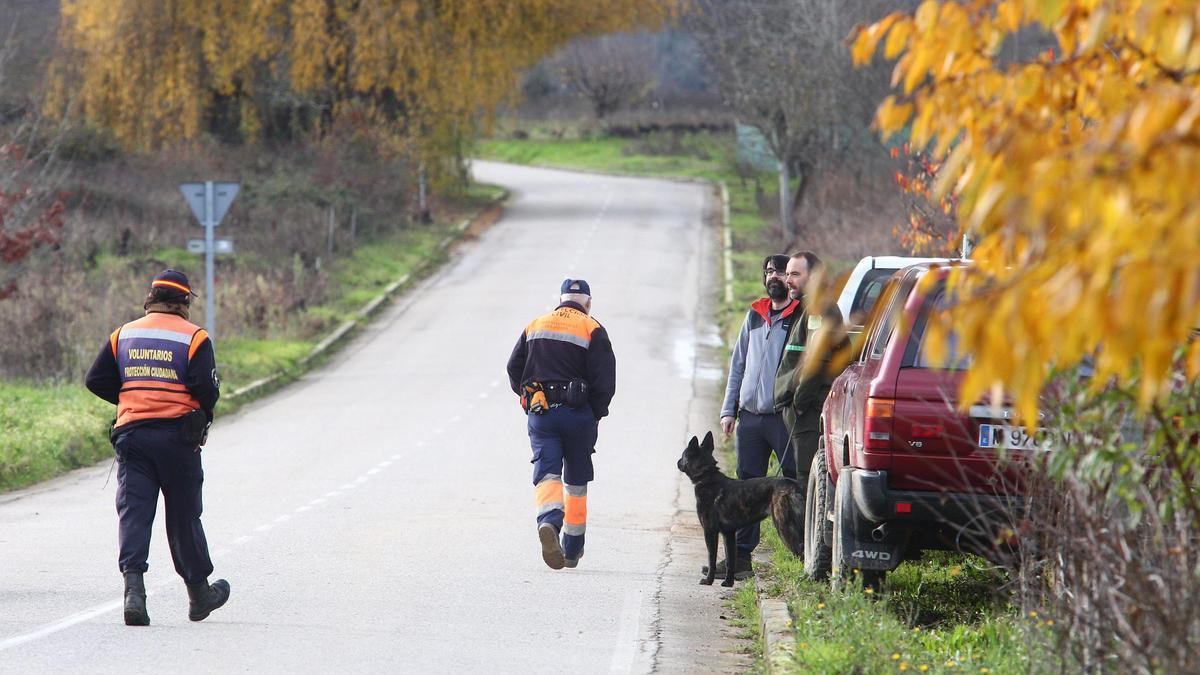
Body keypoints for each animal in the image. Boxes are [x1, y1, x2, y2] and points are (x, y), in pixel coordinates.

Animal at [676, 429, 806, 583]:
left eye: (683, 455)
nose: (677, 462)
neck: (707, 476)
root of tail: (795, 485)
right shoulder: (729, 534)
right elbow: (730, 560)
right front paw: (728, 582)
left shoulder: (710, 531)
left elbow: (711, 559)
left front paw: (709, 581)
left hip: (784, 528)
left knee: (802, 550)